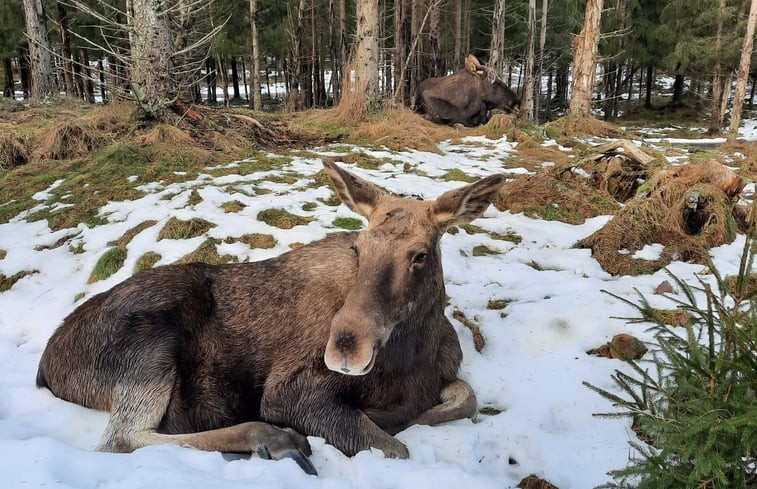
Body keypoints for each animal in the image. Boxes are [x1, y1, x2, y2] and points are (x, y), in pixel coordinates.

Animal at [37, 162, 508, 474]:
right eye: (358, 247)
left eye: (420, 255)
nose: (345, 348)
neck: (414, 357)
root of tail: (46, 368)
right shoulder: (289, 391)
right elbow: (395, 448)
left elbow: (463, 398)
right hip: (152, 342)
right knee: (122, 439)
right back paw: (271, 439)